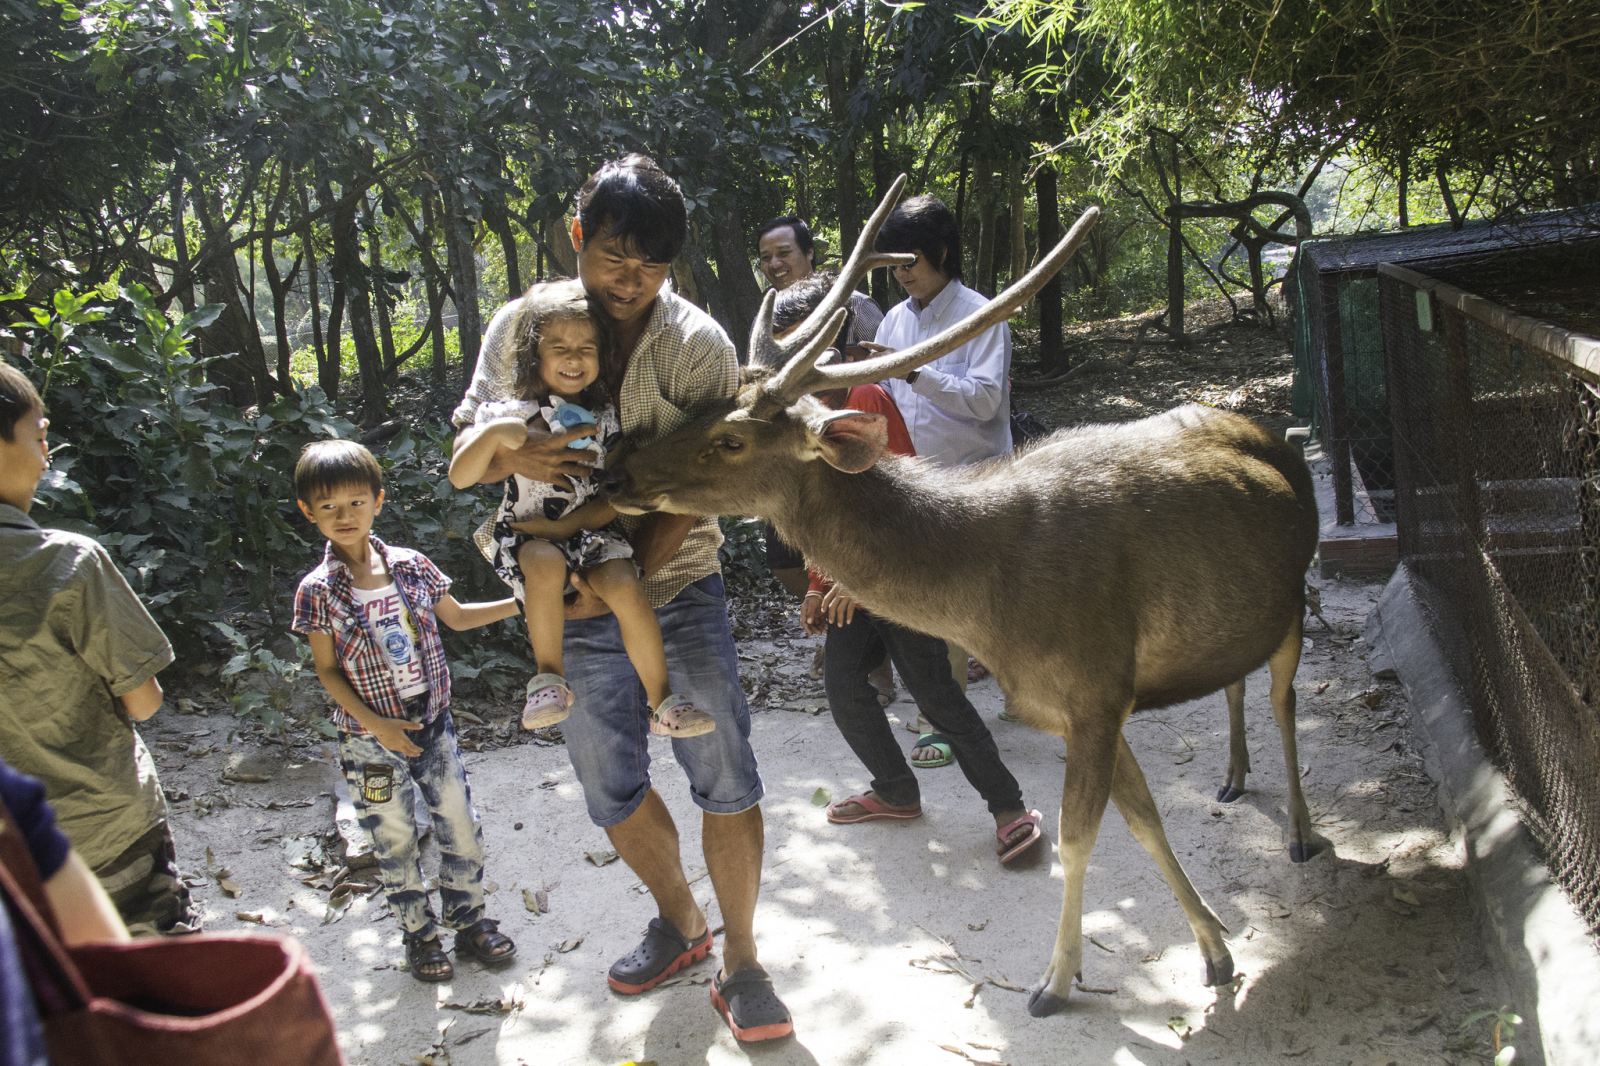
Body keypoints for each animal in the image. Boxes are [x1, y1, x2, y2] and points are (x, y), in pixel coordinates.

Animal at [604, 176, 1318, 1011]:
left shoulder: (1097, 685)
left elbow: (1079, 836)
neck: (992, 601)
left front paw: (1055, 981)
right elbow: (1144, 821)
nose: (620, 470)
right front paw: (1215, 950)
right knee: (1239, 681)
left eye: (731, 439)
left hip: (1297, 595)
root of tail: (1279, 436)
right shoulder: (1083, 704)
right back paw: (1234, 778)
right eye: (703, 408)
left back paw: (1303, 833)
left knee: (1285, 701)